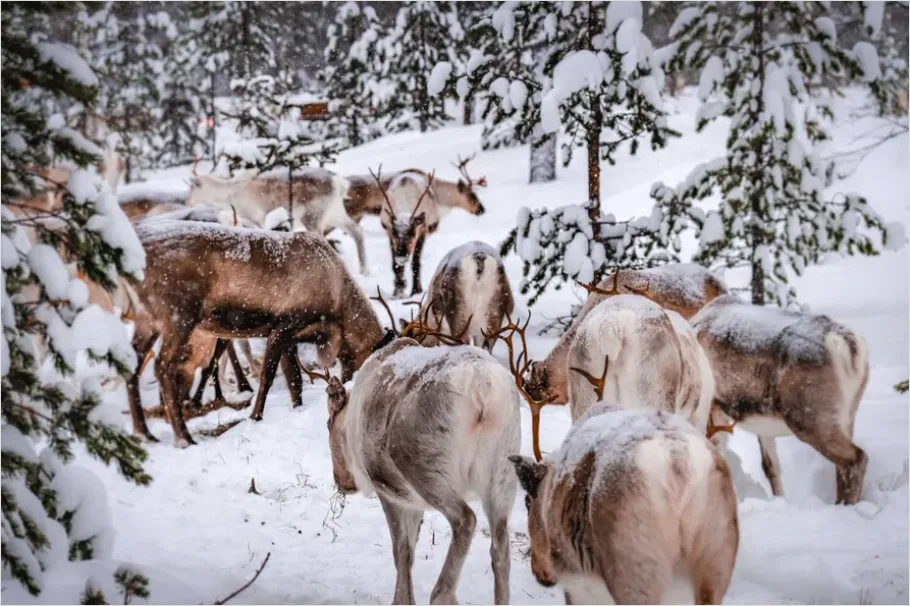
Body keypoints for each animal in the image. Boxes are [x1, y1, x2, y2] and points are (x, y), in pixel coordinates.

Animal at [129, 219, 391, 446]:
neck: (337, 303)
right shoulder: (283, 326)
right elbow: (268, 377)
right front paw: (255, 416)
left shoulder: (291, 337)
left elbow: (294, 379)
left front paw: (296, 407)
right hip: (179, 316)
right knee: (162, 367)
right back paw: (183, 437)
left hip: (147, 320)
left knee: (133, 364)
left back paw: (144, 433)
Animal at [185, 164, 370, 275]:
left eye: (193, 186)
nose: (188, 201)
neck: (230, 193)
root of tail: (339, 183)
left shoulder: (257, 215)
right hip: (335, 214)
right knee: (357, 230)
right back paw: (364, 271)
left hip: (314, 216)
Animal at [318, 329, 521, 605]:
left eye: (328, 424)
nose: (341, 481)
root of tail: (481, 389)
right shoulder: (413, 501)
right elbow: (410, 550)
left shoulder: (390, 491)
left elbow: (401, 551)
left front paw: (402, 599)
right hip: (503, 468)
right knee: (500, 545)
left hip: (423, 464)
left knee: (465, 519)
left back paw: (442, 593)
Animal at [509, 404, 739, 604]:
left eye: (527, 502)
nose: (538, 572)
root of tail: (677, 458)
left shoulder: (578, 588)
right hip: (714, 564)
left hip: (635, 571)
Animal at [691, 294, 871, 505]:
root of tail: (847, 344)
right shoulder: (760, 425)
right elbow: (770, 466)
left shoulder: (712, 406)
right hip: (847, 416)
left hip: (809, 419)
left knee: (855, 459)